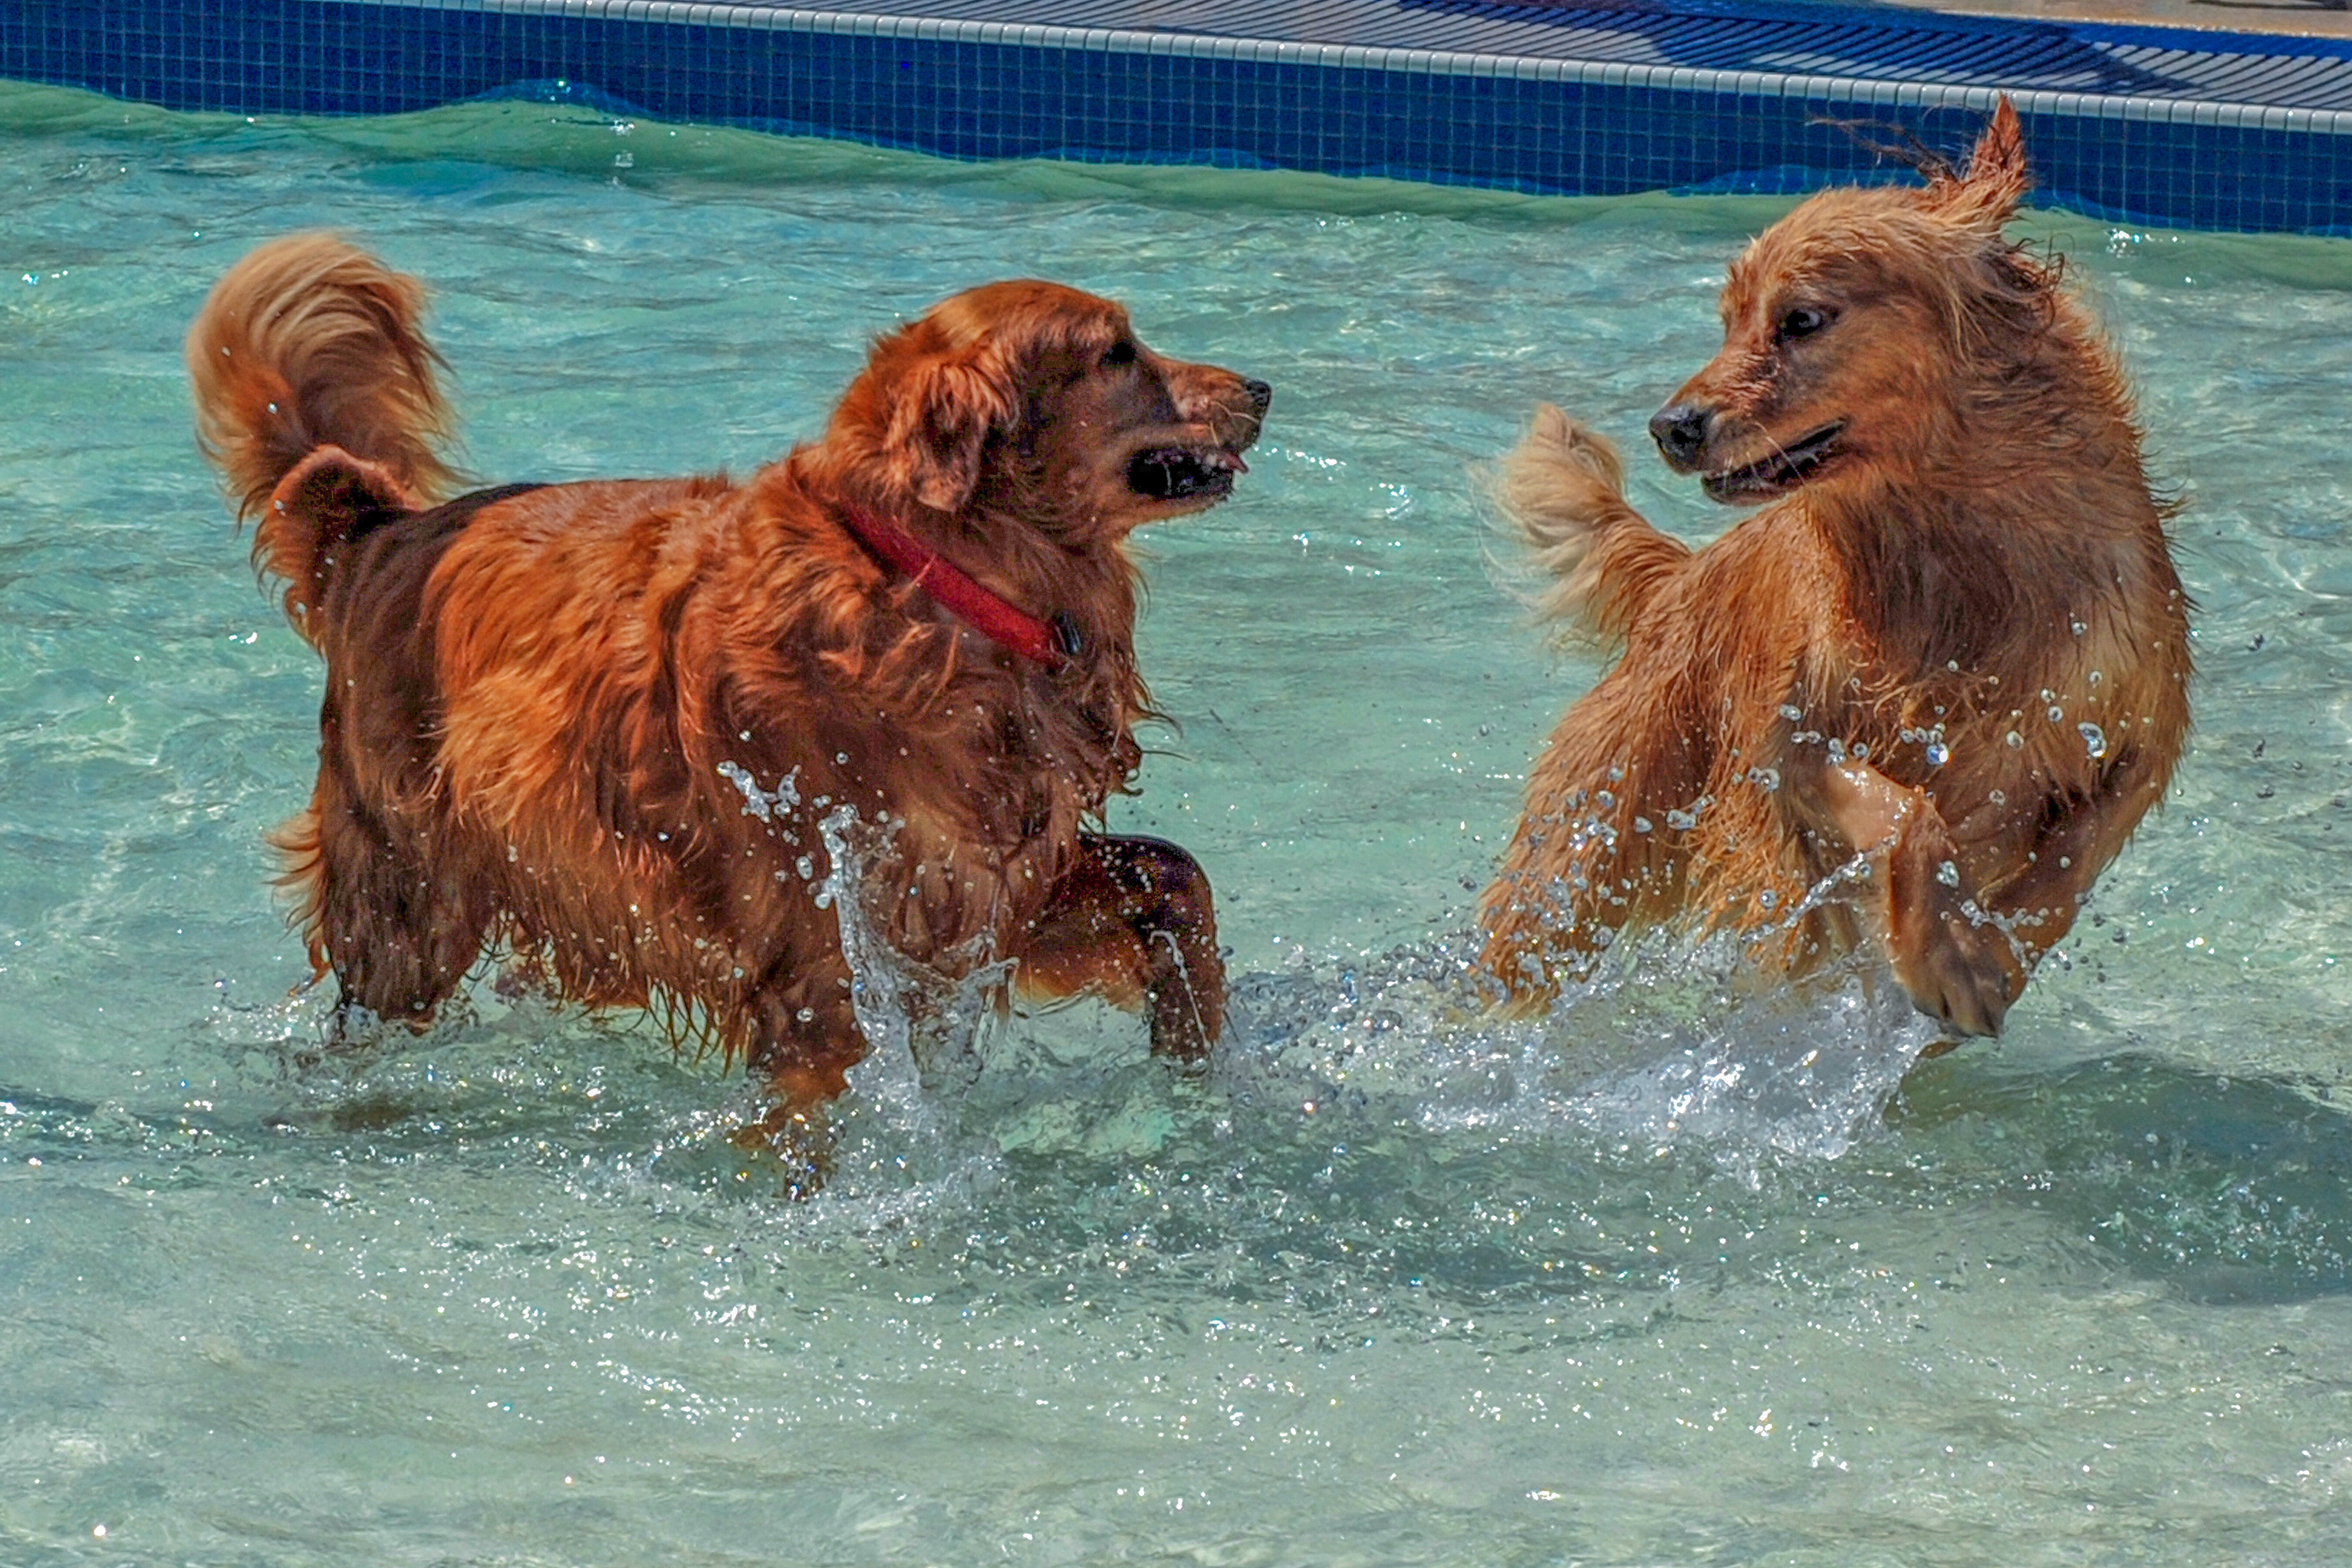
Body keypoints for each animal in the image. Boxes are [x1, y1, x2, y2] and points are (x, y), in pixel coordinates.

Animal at [188, 234, 1268, 1152]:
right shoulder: (828, 948)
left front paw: (1194, 1057)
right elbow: (818, 1092)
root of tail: (383, 527)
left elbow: (1175, 875)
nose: (1262, 386)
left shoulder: (985, 888)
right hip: (409, 903)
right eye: (1118, 353)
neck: (934, 582)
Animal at [1479, 100, 2190, 1040]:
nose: (1670, 427)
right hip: (1583, 852)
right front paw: (1952, 957)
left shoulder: (2138, 731)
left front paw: (1995, 948)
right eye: (1731, 321)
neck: (1958, 550)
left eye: (1802, 321)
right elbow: (1906, 814)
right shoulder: (1789, 746)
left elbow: (2072, 858)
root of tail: (1679, 581)